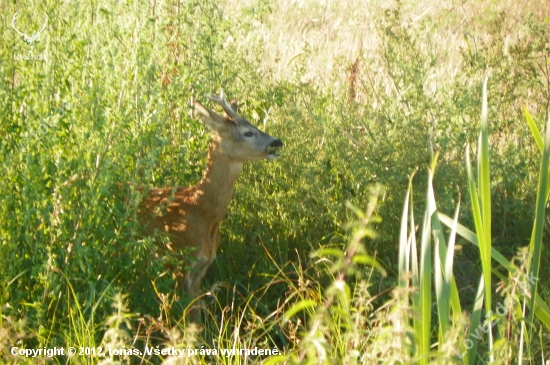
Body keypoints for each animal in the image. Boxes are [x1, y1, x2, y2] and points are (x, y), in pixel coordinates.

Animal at [138, 92, 284, 320]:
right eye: (248, 132)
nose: (277, 142)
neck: (199, 208)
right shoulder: (181, 261)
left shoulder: (203, 266)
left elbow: (196, 314)